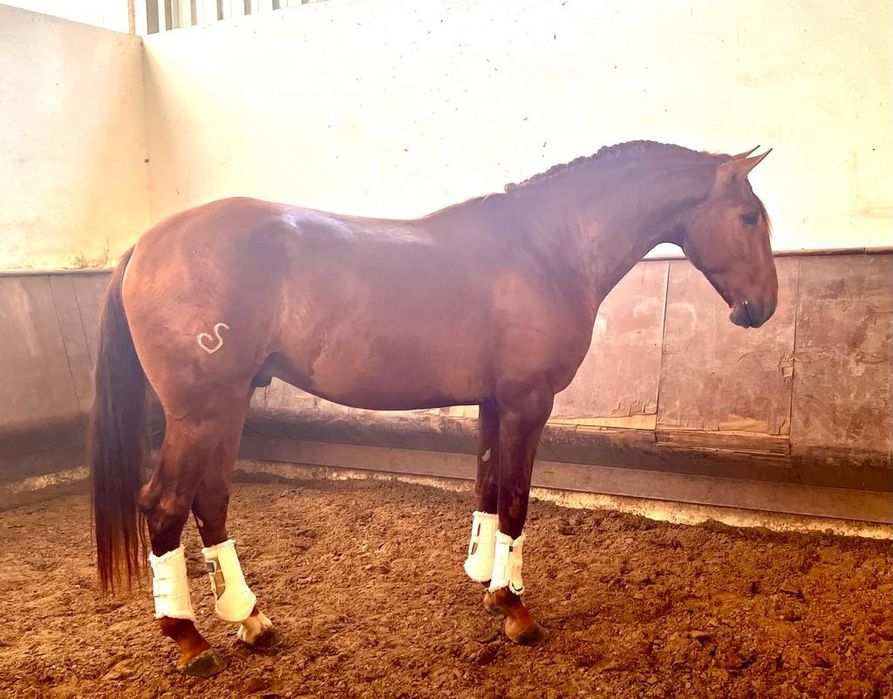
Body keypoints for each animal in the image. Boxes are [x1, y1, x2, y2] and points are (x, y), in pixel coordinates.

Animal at [88, 140, 776, 677]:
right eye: (748, 216)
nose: (764, 308)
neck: (546, 247)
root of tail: (144, 245)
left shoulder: (495, 403)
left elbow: (490, 490)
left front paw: (488, 585)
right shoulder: (528, 402)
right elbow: (517, 500)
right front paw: (516, 610)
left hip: (227, 407)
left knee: (210, 501)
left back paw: (250, 620)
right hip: (200, 411)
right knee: (165, 506)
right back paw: (189, 639)